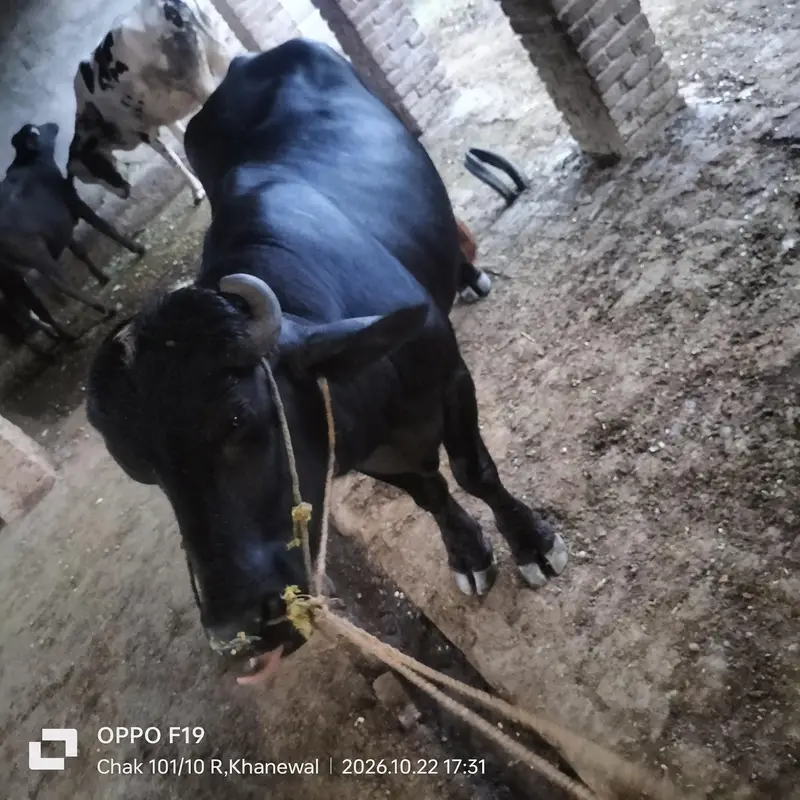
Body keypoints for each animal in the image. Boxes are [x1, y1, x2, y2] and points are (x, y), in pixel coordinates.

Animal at [67, 0, 236, 205]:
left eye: (93, 168)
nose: (123, 193)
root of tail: (168, 4)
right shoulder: (163, 116)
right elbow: (183, 137)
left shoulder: (144, 132)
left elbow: (173, 160)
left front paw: (197, 191)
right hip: (220, 55)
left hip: (201, 82)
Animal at [86, 39, 568, 683]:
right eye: (146, 469)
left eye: (238, 419)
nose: (236, 633)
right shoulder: (359, 447)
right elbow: (429, 491)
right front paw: (466, 553)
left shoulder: (452, 378)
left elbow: (473, 471)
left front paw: (532, 543)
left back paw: (470, 277)